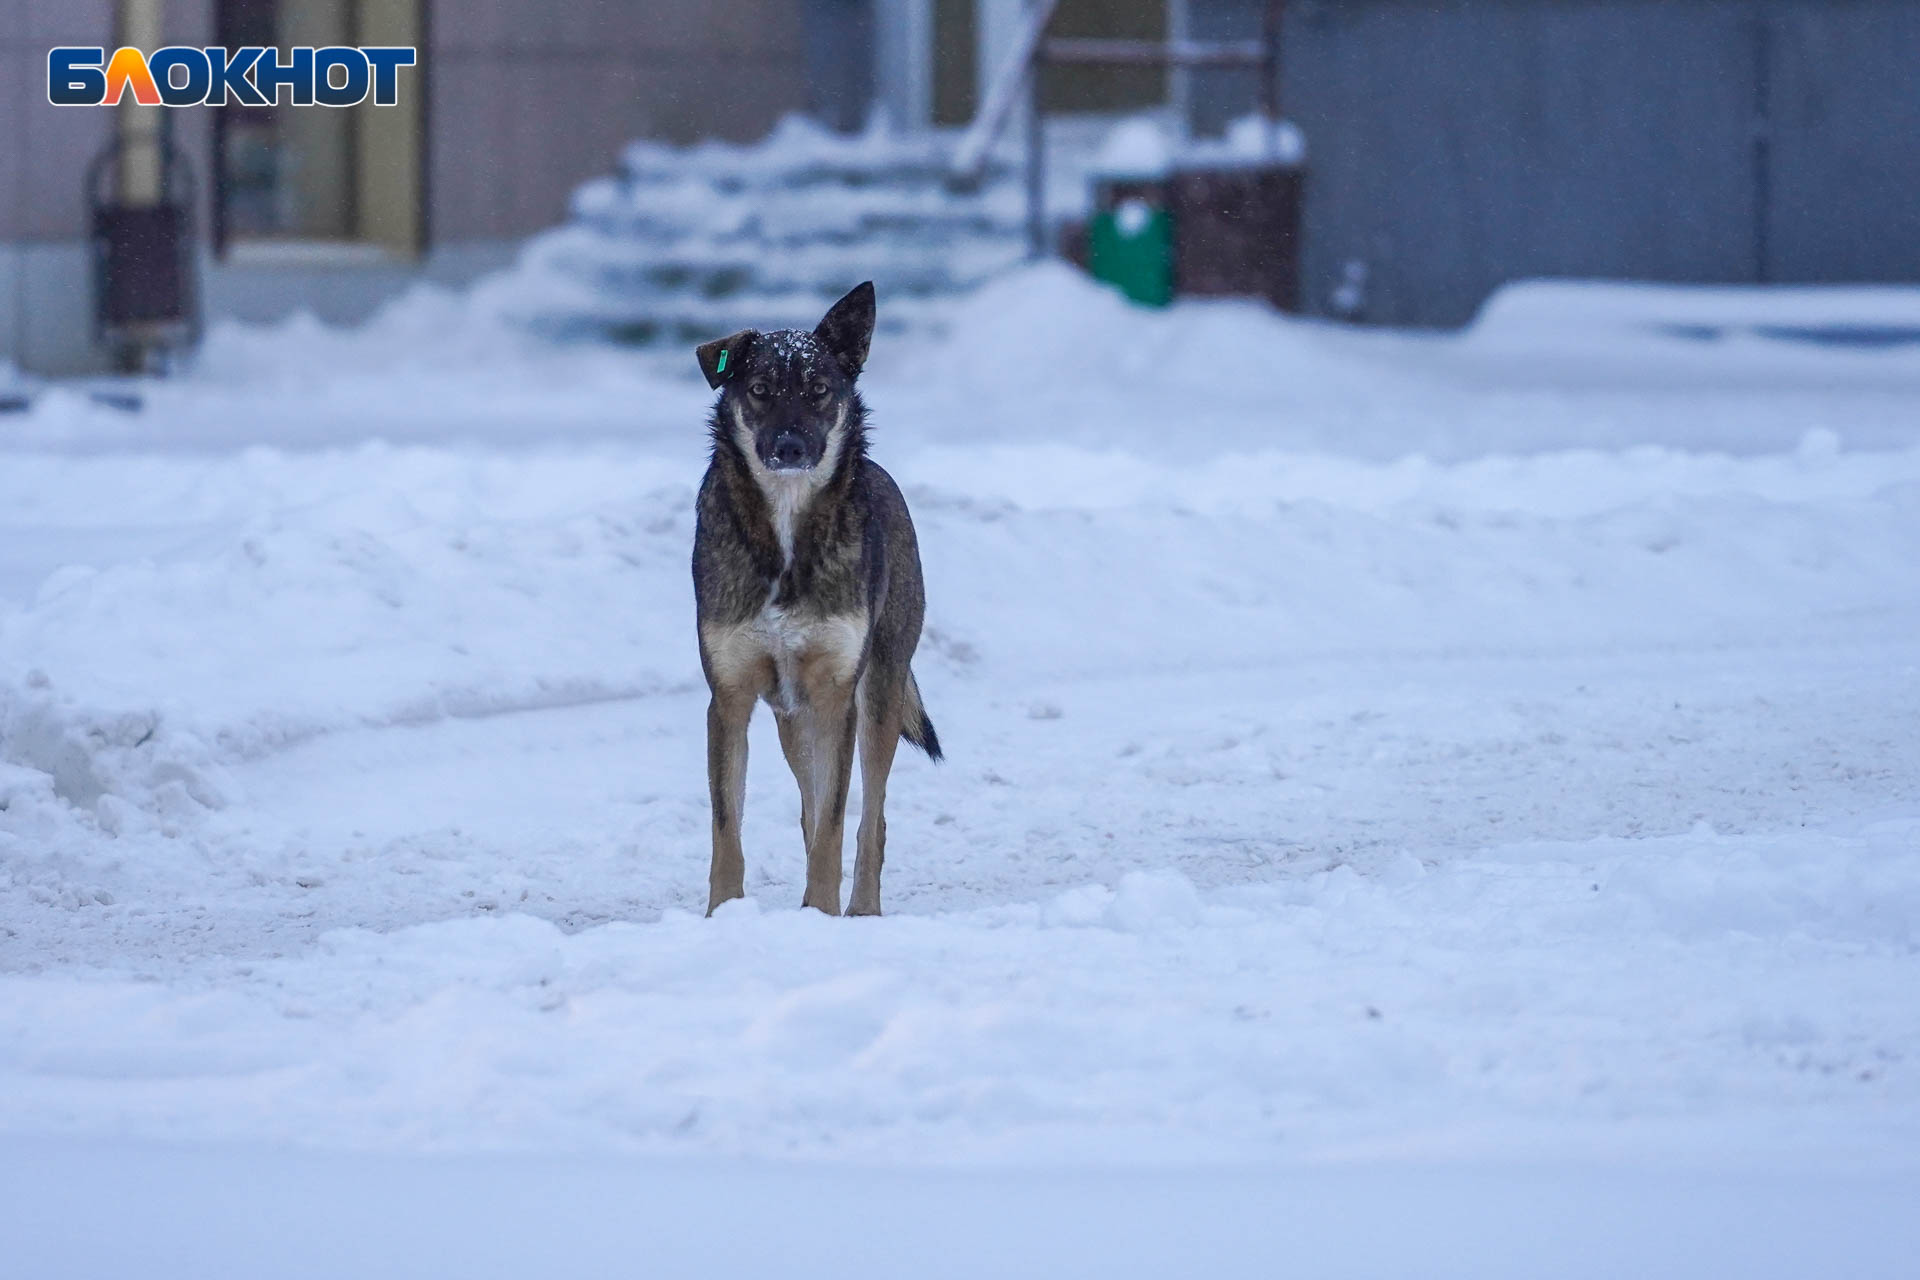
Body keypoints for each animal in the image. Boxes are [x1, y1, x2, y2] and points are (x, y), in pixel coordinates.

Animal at [695, 285, 940, 917]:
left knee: (871, 818)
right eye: (760, 389)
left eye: (819, 390)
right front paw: (722, 916)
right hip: (791, 716)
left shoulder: (837, 696)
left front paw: (823, 915)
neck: (786, 528)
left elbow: (835, 823)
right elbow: (727, 827)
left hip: (877, 695)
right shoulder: (729, 697)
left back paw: (861, 911)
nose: (790, 446)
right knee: (809, 808)